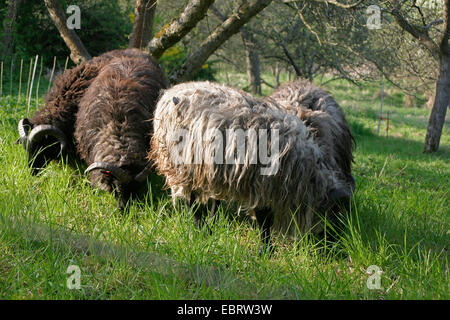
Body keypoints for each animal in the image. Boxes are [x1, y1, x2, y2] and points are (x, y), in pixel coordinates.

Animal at [151, 82, 356, 250]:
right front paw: (266, 250)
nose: (340, 246)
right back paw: (199, 227)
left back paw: (209, 224)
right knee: (191, 201)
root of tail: (172, 91)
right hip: (182, 166)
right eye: (337, 214)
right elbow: (264, 220)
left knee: (212, 198)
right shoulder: (262, 186)